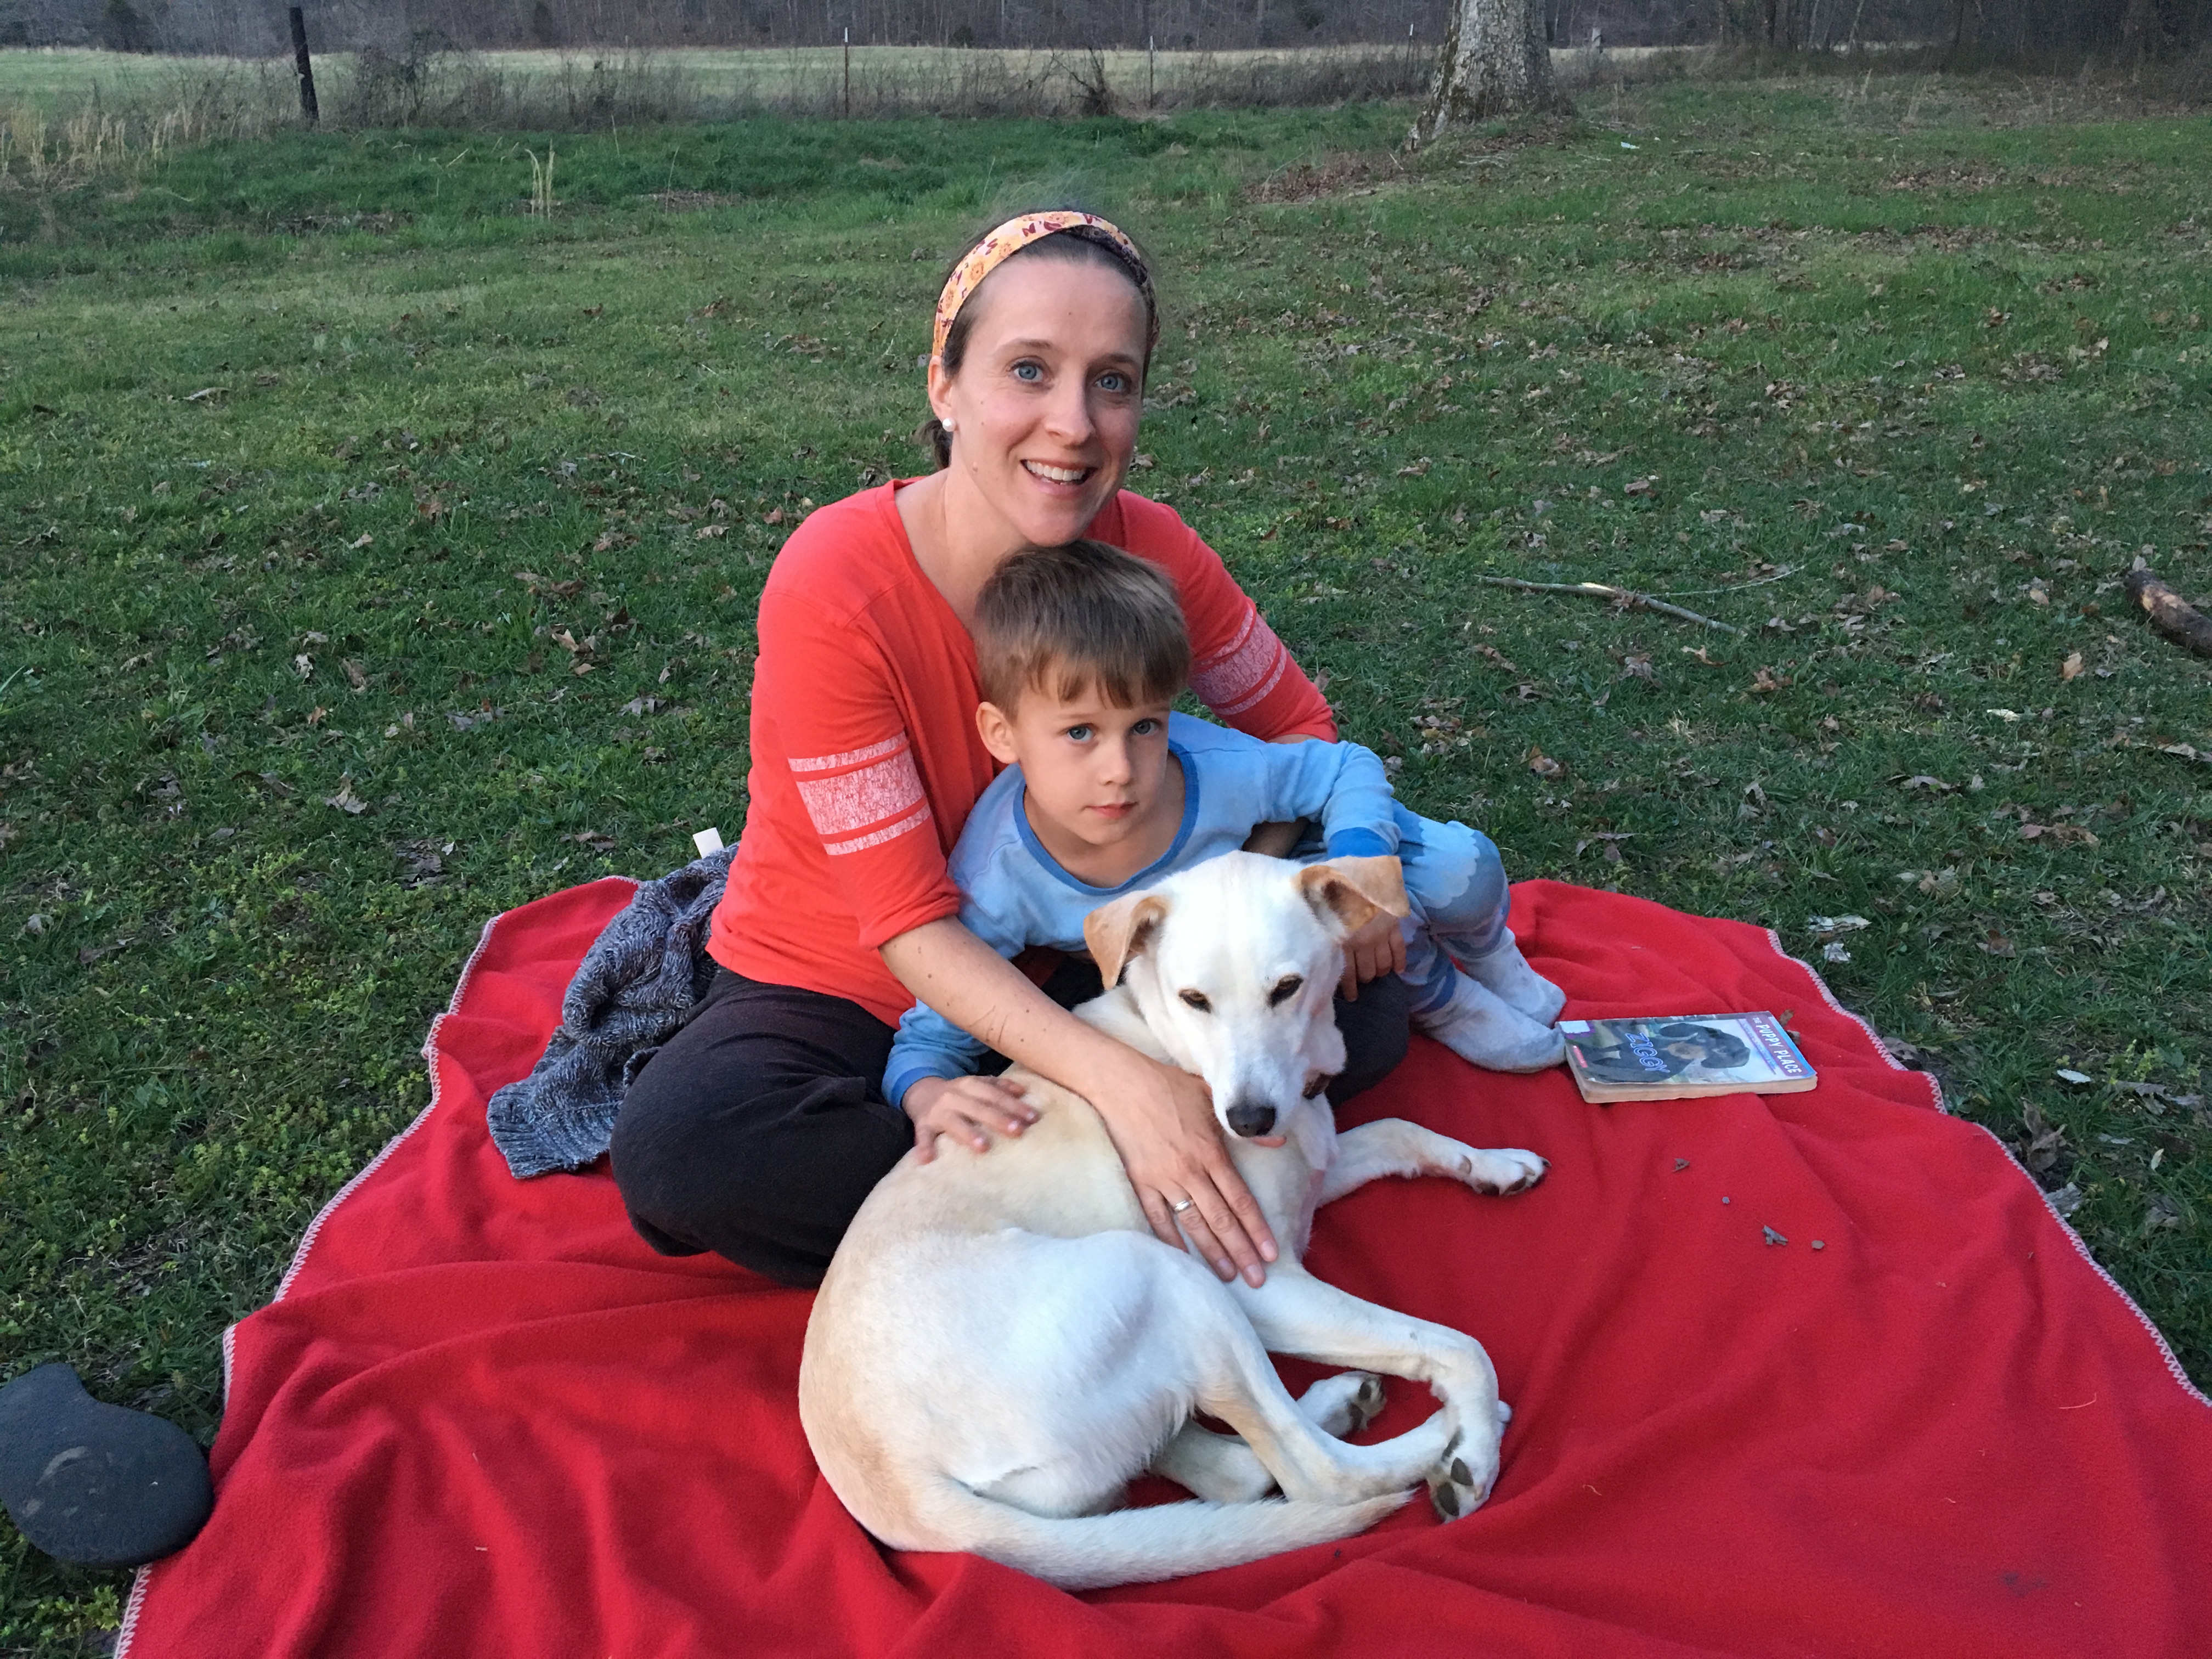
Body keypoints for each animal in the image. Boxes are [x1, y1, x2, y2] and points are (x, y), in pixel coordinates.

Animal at [798, 851, 1548, 1590]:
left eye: (1287, 988)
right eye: (1195, 1000)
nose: (1248, 1120)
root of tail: (903, 1497)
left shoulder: (1312, 1174)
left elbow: (1399, 1130)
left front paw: (1494, 1164)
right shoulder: (1257, 1277)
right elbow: (1456, 1345)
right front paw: (1477, 1450)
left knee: (1235, 1471)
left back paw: (1344, 1404)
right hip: (1173, 1278)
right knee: (1315, 1475)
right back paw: (1443, 1438)